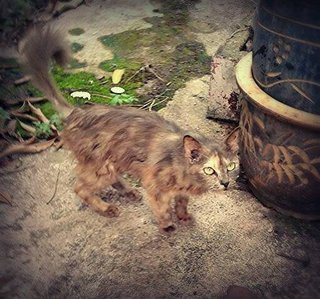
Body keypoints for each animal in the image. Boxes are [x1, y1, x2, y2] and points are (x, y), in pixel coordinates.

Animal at [19, 25, 240, 232]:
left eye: (231, 167)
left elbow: (181, 203)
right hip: (101, 168)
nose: (225, 183)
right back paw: (107, 208)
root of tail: (78, 112)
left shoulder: (181, 192)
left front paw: (183, 216)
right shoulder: (155, 188)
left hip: (111, 162)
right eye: (209, 170)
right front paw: (168, 225)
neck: (182, 168)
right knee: (80, 188)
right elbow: (162, 209)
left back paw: (129, 192)